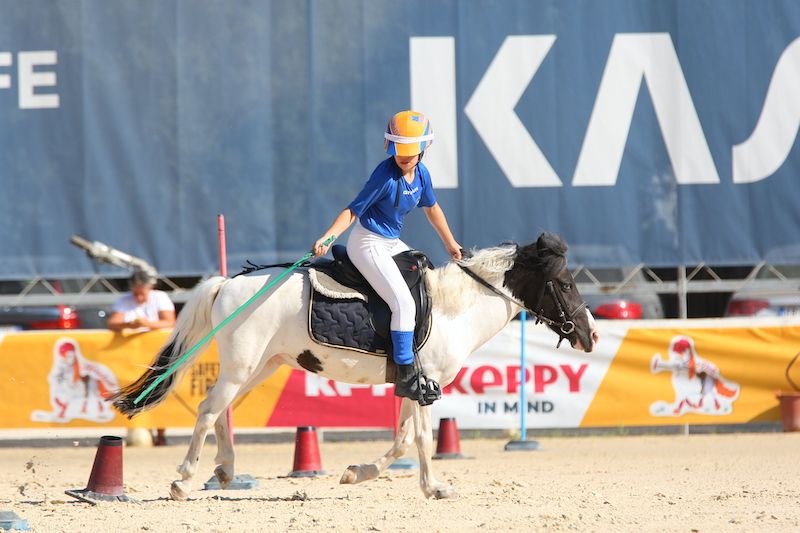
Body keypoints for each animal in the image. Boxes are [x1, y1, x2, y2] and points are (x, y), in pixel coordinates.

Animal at [112, 232, 599, 500]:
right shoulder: (428, 384)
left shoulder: (413, 385)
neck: (451, 308)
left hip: (258, 367)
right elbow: (421, 438)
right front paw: (434, 488)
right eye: (565, 283)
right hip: (241, 367)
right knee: (208, 411)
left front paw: (357, 473)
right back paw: (184, 481)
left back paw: (226, 470)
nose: (590, 335)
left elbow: (401, 439)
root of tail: (228, 282)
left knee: (221, 413)